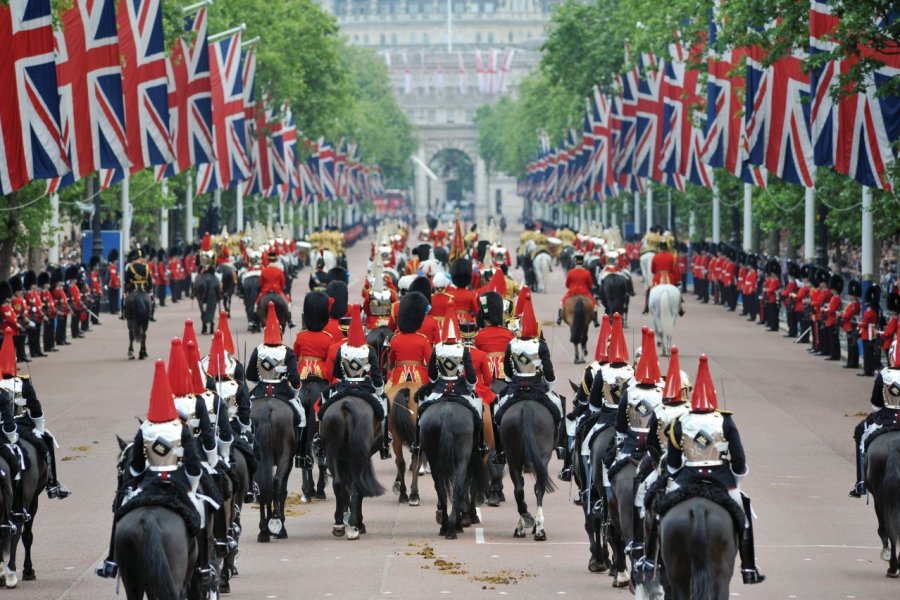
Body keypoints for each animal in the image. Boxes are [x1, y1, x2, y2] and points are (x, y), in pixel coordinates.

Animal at [250, 398, 296, 544]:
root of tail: (267, 405)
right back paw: (278, 524)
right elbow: (282, 492)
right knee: (277, 482)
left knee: (261, 487)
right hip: (284, 457)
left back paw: (263, 531)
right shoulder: (289, 461)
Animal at [320, 396, 384, 540]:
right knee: (356, 486)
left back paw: (338, 524)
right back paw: (355, 525)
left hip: (332, 454)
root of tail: (346, 403)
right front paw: (359, 524)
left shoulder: (343, 459)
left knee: (338, 484)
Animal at [420, 400, 486, 536]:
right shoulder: (472, 459)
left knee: (441, 490)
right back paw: (453, 527)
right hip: (463, 459)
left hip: (433, 460)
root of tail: (446, 414)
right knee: (458, 488)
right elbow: (470, 487)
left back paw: (445, 526)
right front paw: (469, 516)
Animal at [500, 400, 556, 540]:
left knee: (519, 489)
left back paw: (526, 522)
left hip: (513, 460)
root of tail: (527, 406)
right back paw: (537, 529)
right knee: (538, 488)